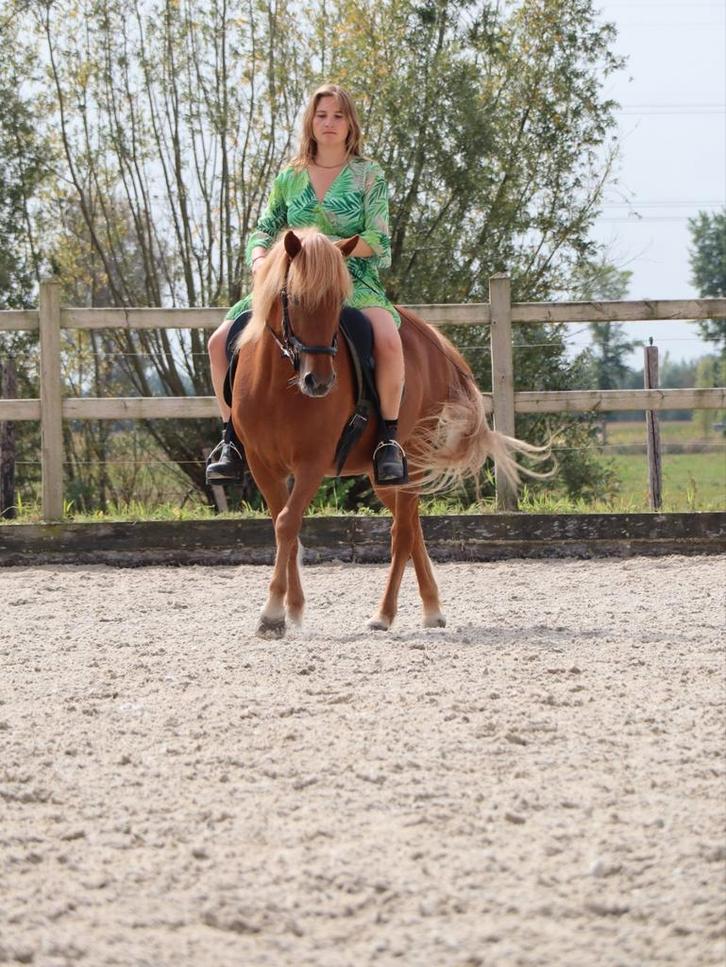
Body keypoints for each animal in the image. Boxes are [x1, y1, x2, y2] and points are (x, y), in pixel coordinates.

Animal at [231, 228, 547, 637]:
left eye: (339, 301)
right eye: (295, 299)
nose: (320, 382)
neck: (279, 386)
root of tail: (433, 341)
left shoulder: (312, 463)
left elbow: (287, 523)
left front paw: (272, 613)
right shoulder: (263, 465)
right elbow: (284, 524)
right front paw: (293, 609)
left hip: (414, 453)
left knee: (403, 533)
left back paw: (384, 614)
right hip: (382, 475)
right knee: (411, 524)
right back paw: (432, 608)